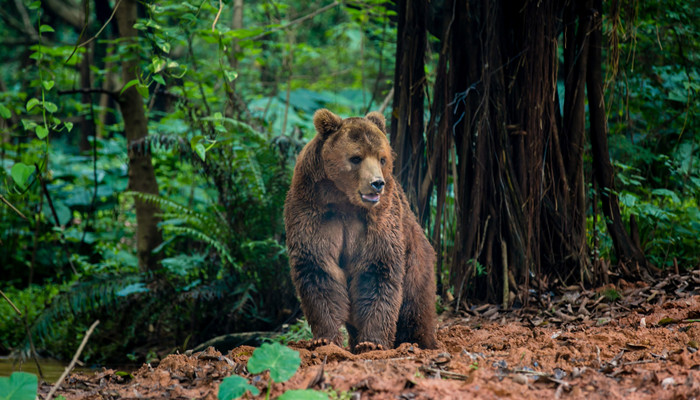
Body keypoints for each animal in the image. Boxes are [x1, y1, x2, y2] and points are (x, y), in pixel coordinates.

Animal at [282, 108, 434, 354]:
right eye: (356, 158)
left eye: (382, 158)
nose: (377, 183)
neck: (344, 199)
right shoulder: (313, 210)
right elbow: (318, 268)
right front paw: (324, 339)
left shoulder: (379, 218)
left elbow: (377, 269)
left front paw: (372, 342)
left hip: (416, 259)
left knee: (415, 305)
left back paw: (416, 341)